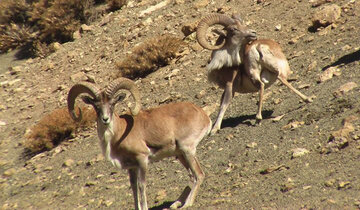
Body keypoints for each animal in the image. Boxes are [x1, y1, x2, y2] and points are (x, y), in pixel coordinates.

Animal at [67, 78, 211, 209]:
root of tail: (204, 116)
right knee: (192, 176)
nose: (105, 119)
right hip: (180, 155)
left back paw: (187, 204)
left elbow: (142, 186)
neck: (119, 133)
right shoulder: (132, 167)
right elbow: (134, 188)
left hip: (187, 150)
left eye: (113, 103)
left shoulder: (142, 160)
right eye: (96, 106)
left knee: (199, 175)